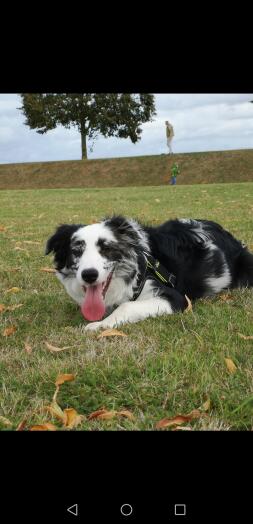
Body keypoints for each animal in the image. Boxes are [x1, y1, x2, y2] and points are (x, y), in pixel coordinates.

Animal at [45, 214, 253, 330]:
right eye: (76, 250)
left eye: (106, 248)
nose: (89, 275)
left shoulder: (176, 297)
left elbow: (127, 306)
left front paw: (100, 325)